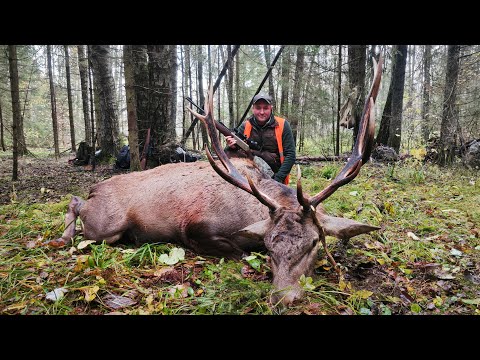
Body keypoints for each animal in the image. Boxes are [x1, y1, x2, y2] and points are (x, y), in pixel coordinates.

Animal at [49, 57, 382, 306]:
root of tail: (96, 187)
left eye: (314, 242)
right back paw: (62, 237)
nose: (283, 298)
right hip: (106, 227)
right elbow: (240, 253)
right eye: (269, 244)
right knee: (76, 203)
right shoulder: (195, 227)